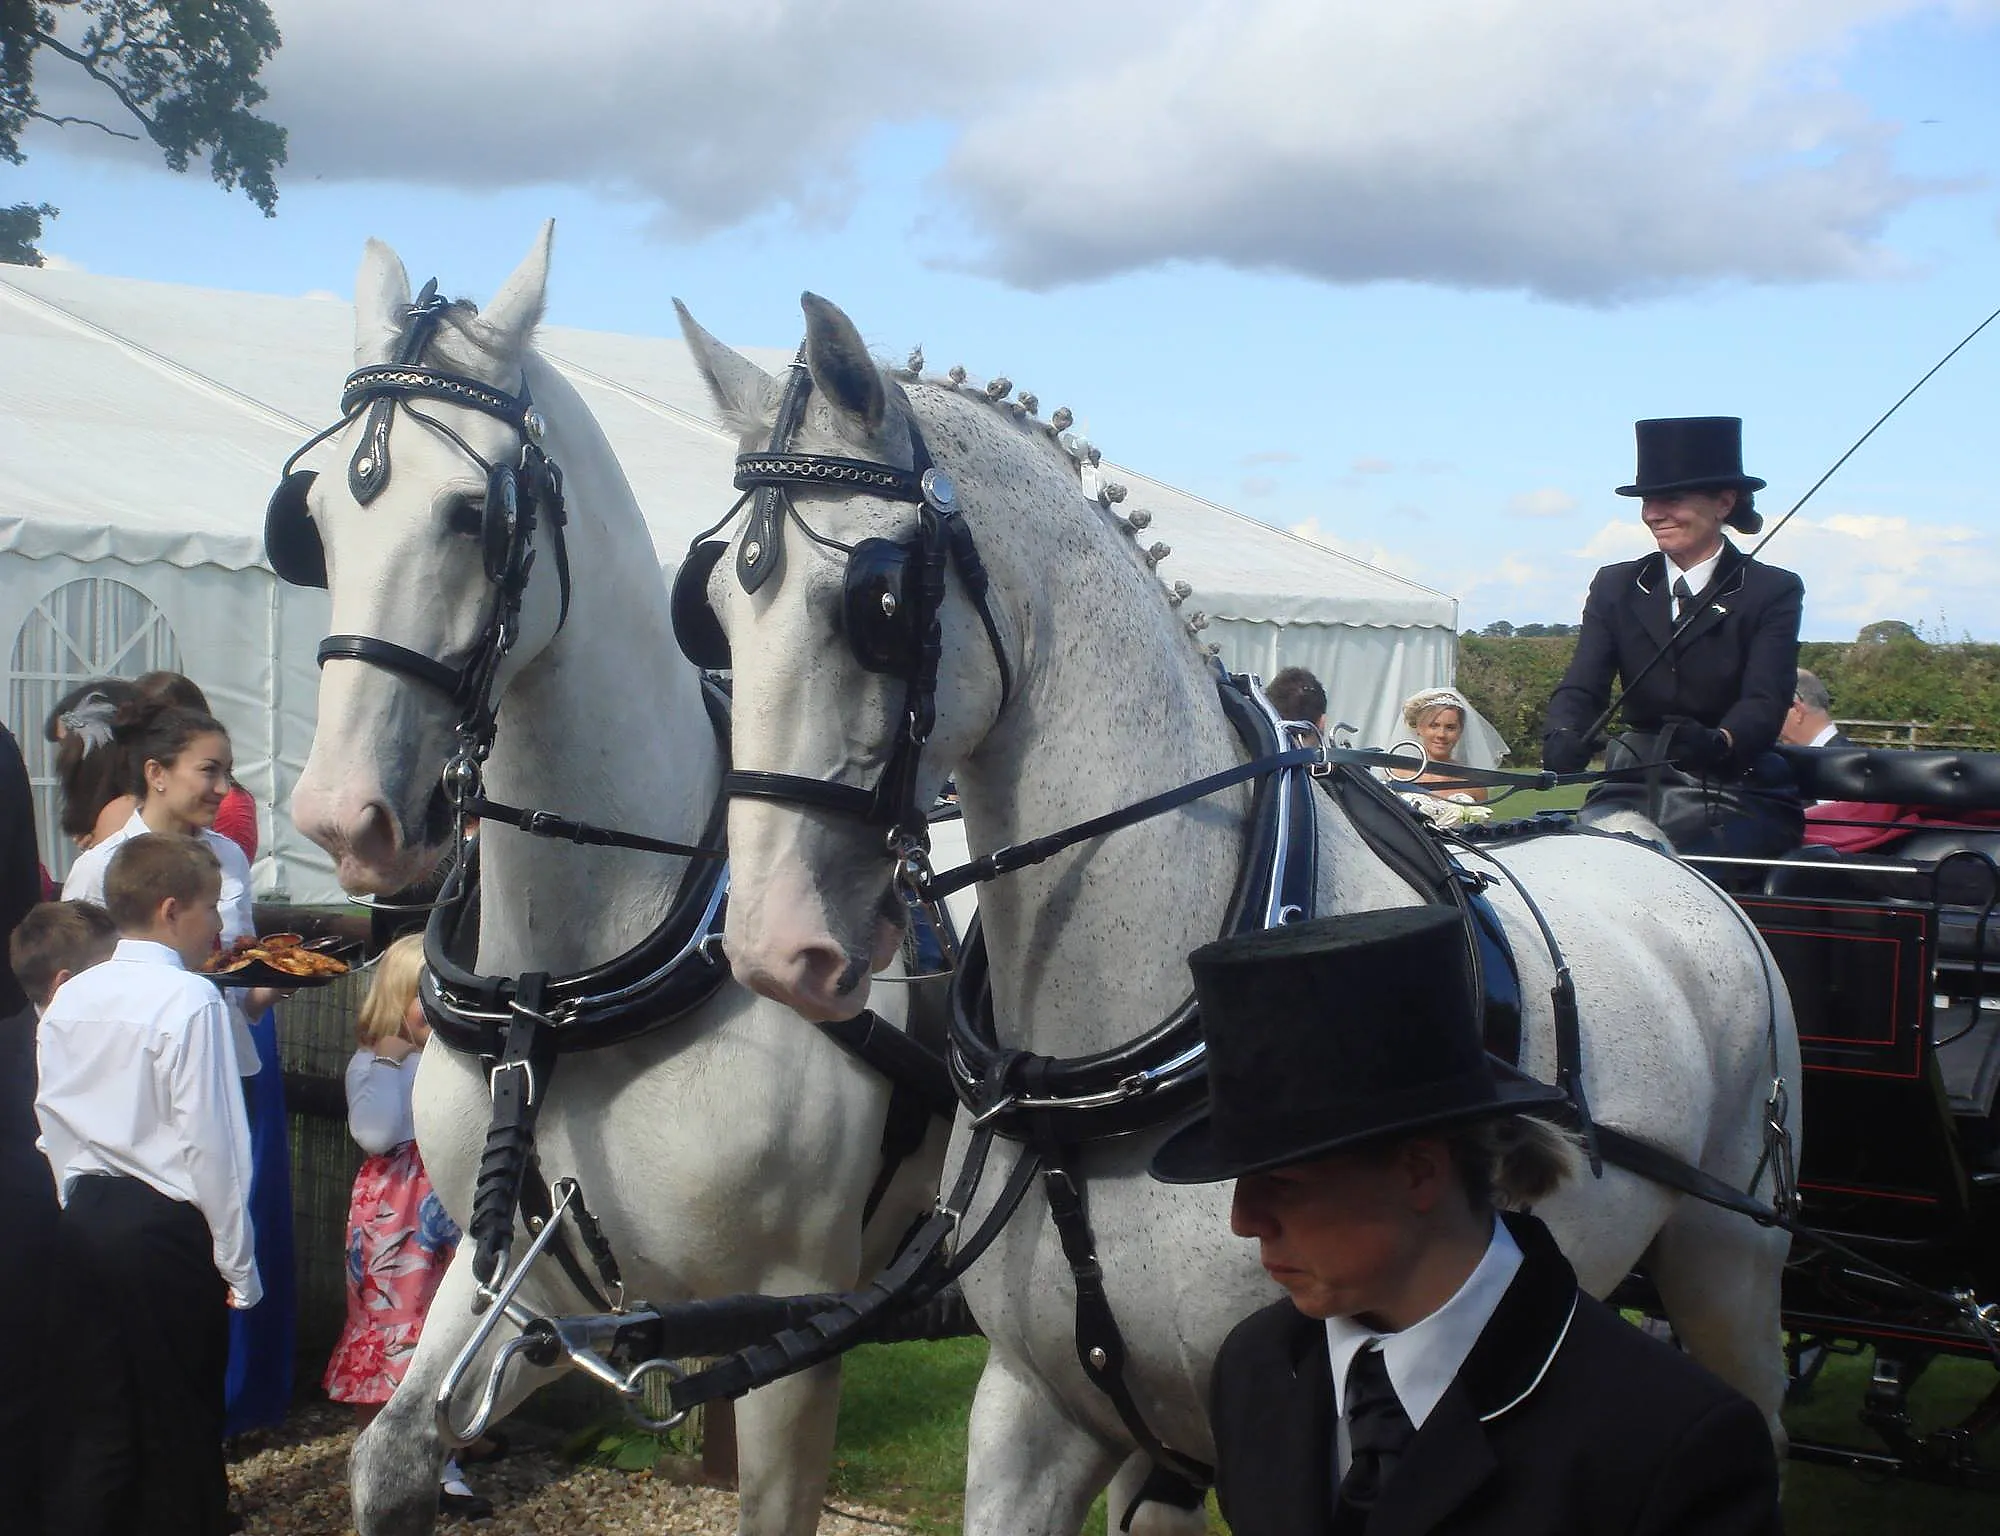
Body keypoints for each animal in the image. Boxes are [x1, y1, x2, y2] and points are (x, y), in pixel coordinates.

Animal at [282, 228, 944, 1536]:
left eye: (471, 513)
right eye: (315, 516)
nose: (342, 813)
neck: (563, 978)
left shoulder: (798, 1319)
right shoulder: (525, 1292)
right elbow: (388, 1457)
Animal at [680, 292, 1808, 1536]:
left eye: (875, 603)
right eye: (709, 609)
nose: (773, 945)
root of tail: (1650, 847)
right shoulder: (1041, 1410)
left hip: (1731, 1262)